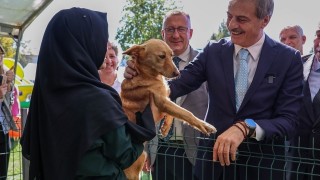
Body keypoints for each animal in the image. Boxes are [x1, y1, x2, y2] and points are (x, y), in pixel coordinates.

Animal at [121, 38, 216, 179]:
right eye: (161, 56)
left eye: (172, 55)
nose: (177, 73)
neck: (145, 74)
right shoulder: (162, 102)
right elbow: (187, 113)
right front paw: (205, 125)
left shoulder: (166, 100)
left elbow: (174, 114)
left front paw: (165, 128)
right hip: (132, 171)